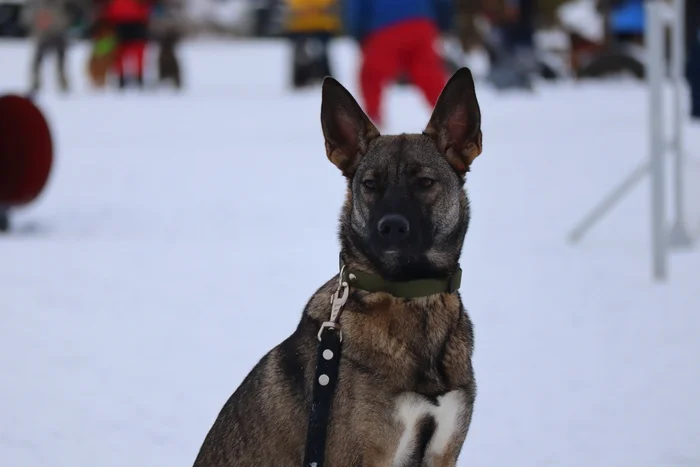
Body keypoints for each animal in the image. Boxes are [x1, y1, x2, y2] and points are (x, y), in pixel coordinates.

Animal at [193, 66, 486, 467]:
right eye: (370, 184)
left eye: (425, 182)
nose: (391, 227)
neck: (412, 298)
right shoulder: (361, 455)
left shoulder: (444, 451)